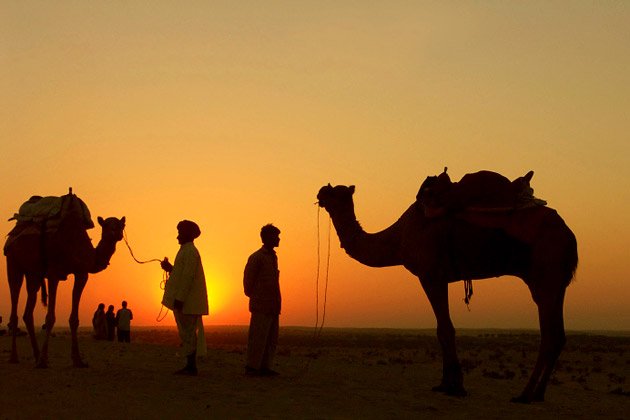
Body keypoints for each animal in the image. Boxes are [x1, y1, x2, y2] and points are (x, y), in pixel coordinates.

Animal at [4, 192, 126, 370]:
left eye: (121, 225)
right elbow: (50, 318)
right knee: (14, 302)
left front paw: (78, 360)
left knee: (28, 311)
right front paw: (43, 360)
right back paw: (15, 357)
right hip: (13, 263)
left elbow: (74, 319)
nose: (118, 234)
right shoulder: (54, 273)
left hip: (34, 274)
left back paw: (36, 355)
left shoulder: (81, 274)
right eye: (107, 226)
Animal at [318, 171, 580, 404]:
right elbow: (442, 330)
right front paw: (444, 384)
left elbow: (445, 329)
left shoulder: (430, 275)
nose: (321, 191)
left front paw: (457, 387)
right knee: (558, 334)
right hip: (556, 282)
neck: (399, 238)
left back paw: (524, 395)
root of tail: (570, 236)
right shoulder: (439, 276)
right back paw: (537, 394)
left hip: (546, 273)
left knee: (549, 334)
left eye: (337, 193)